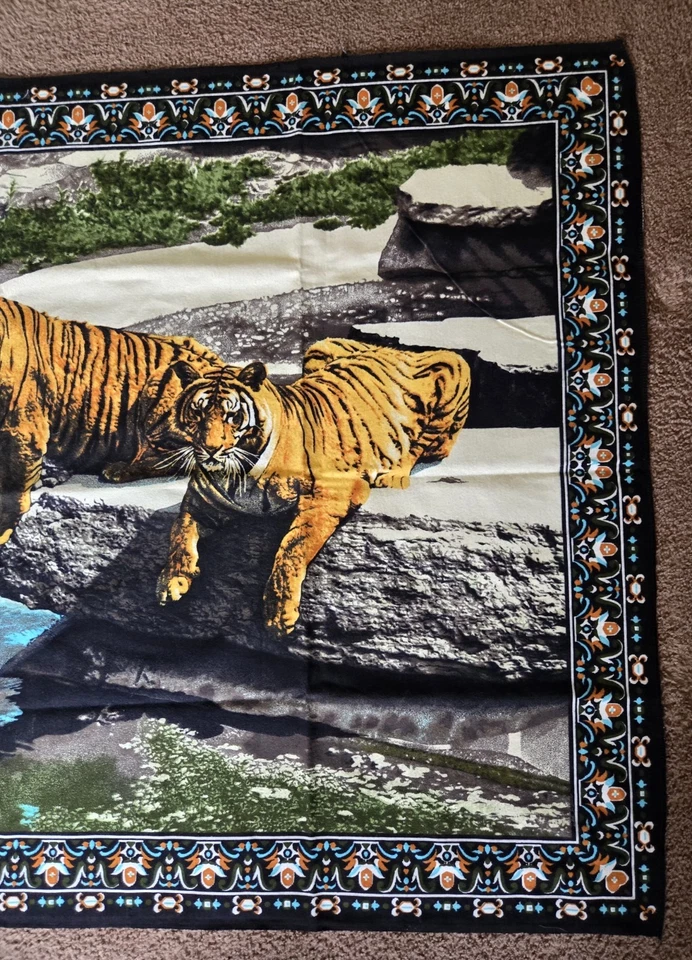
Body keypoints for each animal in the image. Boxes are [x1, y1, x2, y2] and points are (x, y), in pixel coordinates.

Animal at [154, 337, 471, 636]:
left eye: (232, 416)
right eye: (198, 413)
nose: (210, 450)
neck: (238, 474)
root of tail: (396, 349)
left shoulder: (329, 493)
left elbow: (292, 547)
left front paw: (279, 615)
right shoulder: (200, 502)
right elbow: (179, 534)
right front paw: (172, 582)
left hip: (453, 365)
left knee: (426, 446)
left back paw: (393, 473)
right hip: (319, 347)